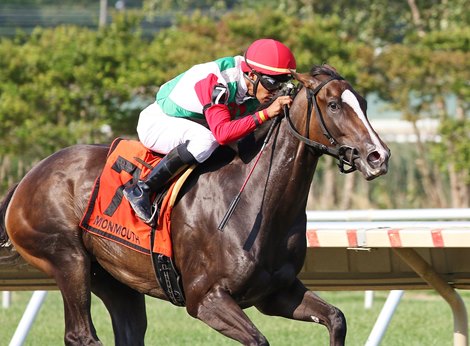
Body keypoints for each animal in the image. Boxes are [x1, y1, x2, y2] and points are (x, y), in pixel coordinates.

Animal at [0, 65, 390, 346]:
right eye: (334, 105)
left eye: (364, 103)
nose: (379, 156)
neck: (257, 202)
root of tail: (28, 177)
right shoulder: (206, 299)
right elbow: (258, 340)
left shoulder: (277, 293)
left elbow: (336, 318)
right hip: (68, 260)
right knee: (81, 334)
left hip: (115, 279)